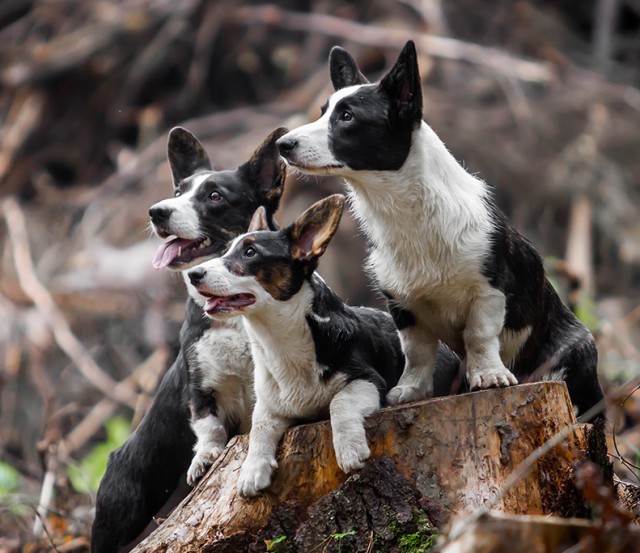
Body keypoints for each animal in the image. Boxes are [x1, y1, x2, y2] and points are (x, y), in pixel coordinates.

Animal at [90, 126, 288, 552]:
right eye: (178, 191)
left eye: (215, 196)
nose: (157, 212)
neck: (235, 314)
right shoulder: (200, 387)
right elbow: (208, 425)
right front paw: (204, 459)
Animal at [276, 41, 604, 416]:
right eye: (323, 112)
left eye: (347, 117)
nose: (281, 145)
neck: (407, 211)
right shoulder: (403, 306)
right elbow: (416, 353)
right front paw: (409, 391)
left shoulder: (489, 291)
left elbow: (479, 336)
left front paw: (489, 376)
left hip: (575, 353)